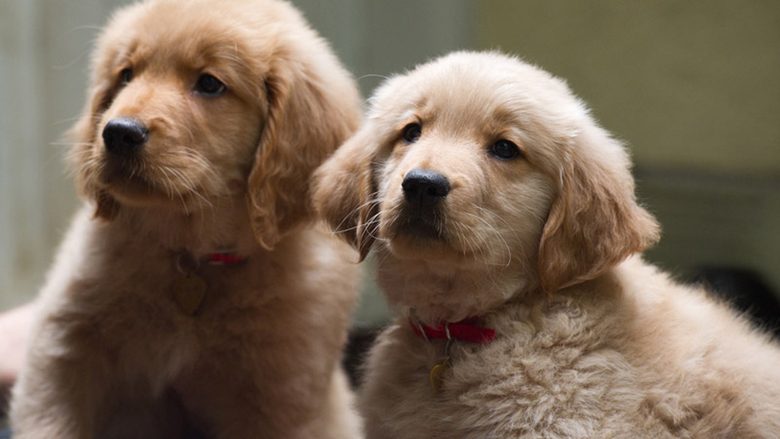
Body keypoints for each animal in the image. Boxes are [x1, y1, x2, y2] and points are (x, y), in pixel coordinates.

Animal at [10, 0, 362, 437]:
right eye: (126, 75)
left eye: (210, 84)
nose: (118, 132)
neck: (193, 257)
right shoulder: (61, 352)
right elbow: (50, 420)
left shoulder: (283, 398)